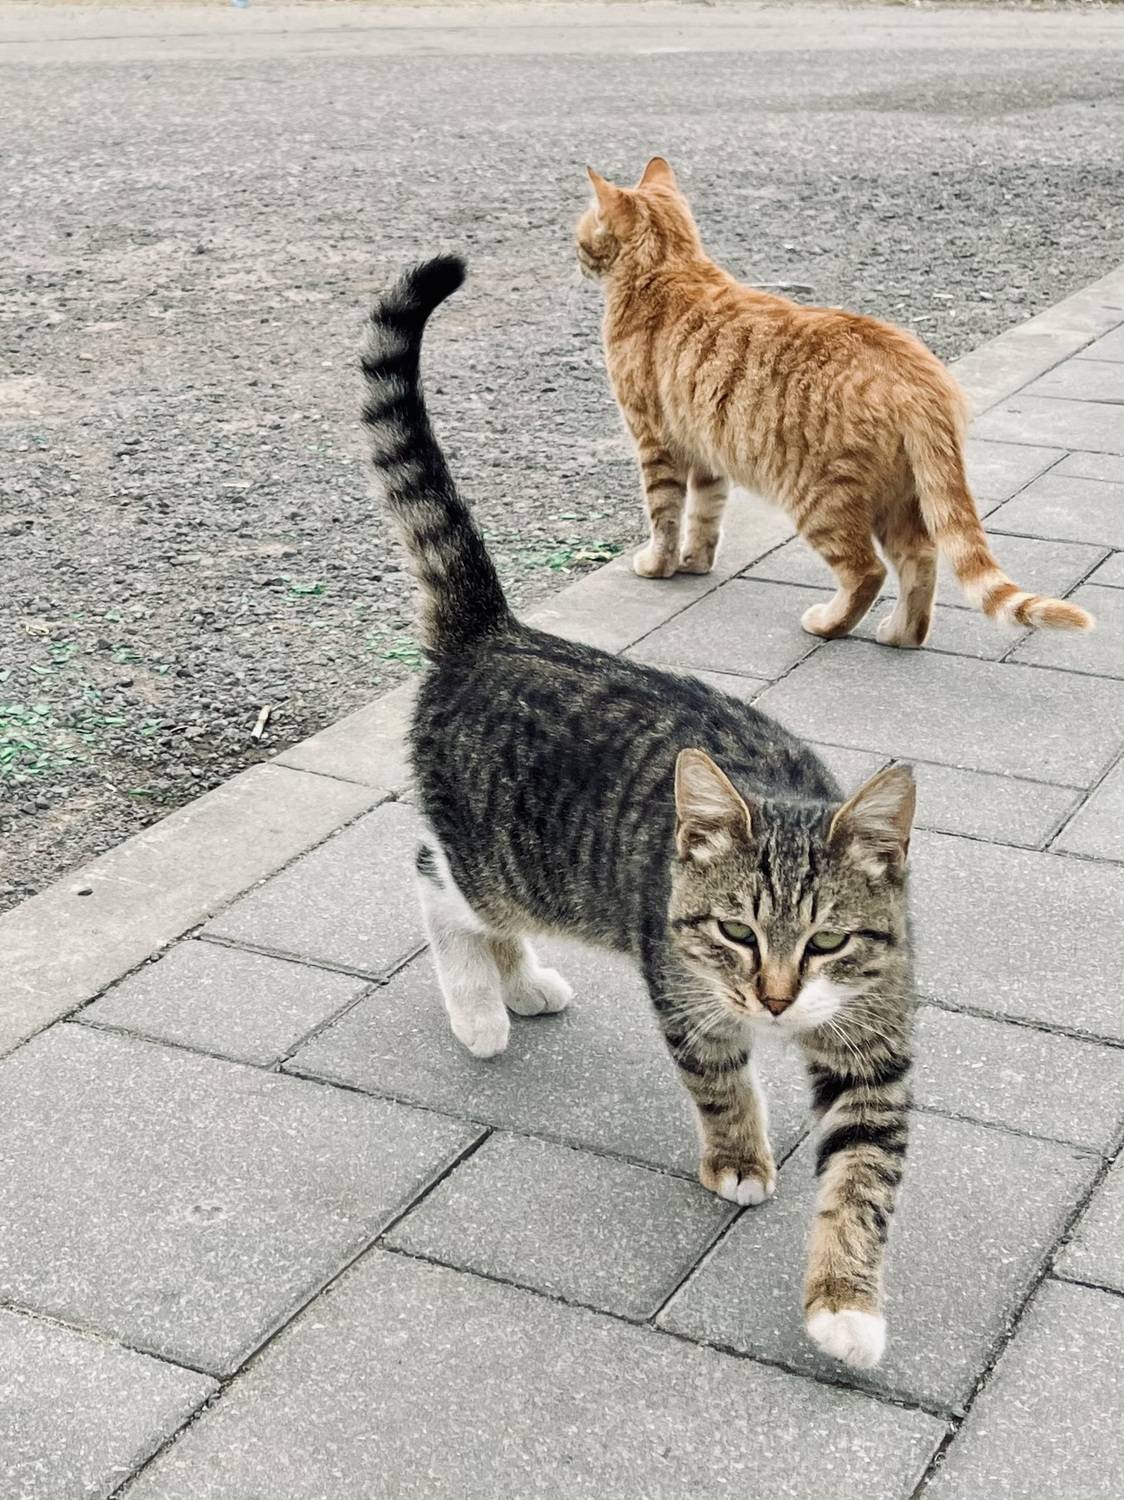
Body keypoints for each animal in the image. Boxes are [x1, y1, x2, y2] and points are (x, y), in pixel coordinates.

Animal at [362, 254, 915, 1371]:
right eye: (735, 931)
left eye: (829, 941)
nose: (775, 1000)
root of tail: (495, 632)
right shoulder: (685, 987)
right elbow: (720, 1079)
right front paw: (738, 1158)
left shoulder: (873, 1039)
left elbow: (864, 1174)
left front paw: (844, 1302)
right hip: (499, 860)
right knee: (434, 882)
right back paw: (480, 1009)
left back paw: (523, 983)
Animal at [577, 157, 1094, 647]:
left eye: (580, 234)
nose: (576, 257)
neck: (669, 267)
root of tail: (920, 376)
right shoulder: (706, 451)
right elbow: (705, 515)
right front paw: (695, 561)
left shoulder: (655, 440)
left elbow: (664, 514)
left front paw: (658, 565)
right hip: (902, 499)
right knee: (920, 560)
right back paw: (900, 635)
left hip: (821, 499)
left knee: (867, 571)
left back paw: (828, 623)